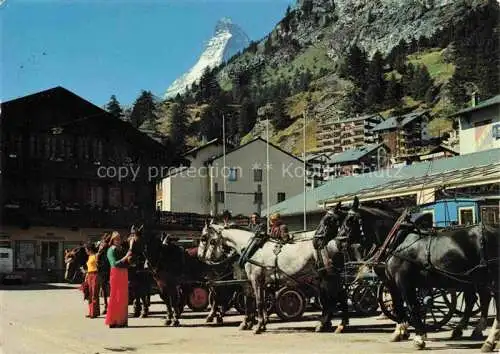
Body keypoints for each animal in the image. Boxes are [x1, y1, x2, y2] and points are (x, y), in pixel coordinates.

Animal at [338, 199, 498, 352]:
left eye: (350, 219)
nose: (339, 241)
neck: (398, 241)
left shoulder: (404, 282)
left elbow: (413, 306)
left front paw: (419, 337)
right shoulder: (392, 282)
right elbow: (398, 305)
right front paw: (401, 332)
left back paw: (488, 340)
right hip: (475, 279)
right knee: (478, 299)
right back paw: (473, 332)